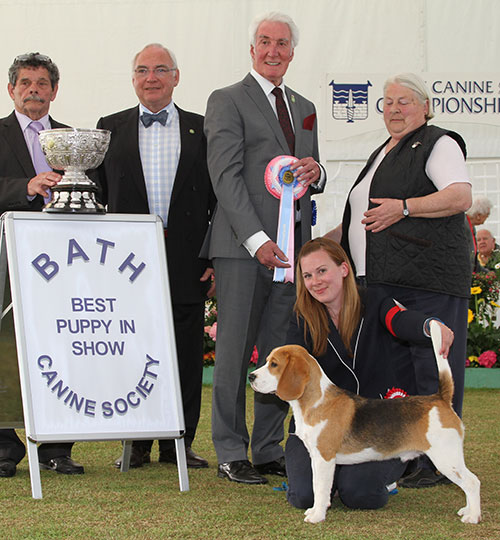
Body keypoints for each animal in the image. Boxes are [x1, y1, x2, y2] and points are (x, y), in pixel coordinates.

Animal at [249, 320, 480, 524]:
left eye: (274, 364)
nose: (251, 377)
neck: (317, 401)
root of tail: (439, 398)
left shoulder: (324, 458)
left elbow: (321, 489)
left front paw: (317, 516)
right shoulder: (315, 457)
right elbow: (315, 486)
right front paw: (315, 510)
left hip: (446, 458)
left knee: (472, 482)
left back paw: (473, 516)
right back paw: (467, 510)